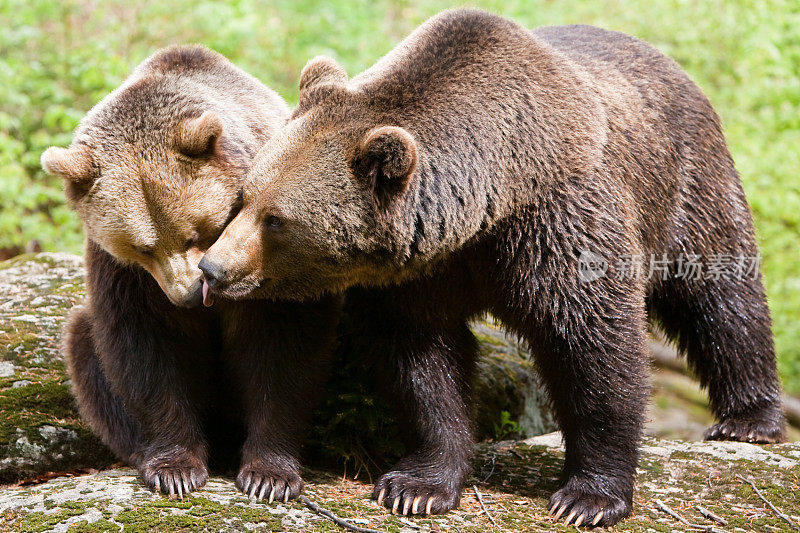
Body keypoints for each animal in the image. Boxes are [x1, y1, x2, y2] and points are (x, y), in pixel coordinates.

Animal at [40, 44, 340, 498]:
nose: (188, 294)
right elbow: (148, 348)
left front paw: (268, 475)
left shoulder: (272, 256)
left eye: (194, 231)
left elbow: (282, 346)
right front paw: (175, 467)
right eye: (142, 247)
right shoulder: (127, 275)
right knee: (84, 346)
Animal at [198, 9, 780, 528]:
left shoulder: (559, 225)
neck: (483, 207)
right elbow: (422, 361)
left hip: (686, 185)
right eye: (245, 197)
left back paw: (749, 419)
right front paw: (417, 485)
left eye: (277, 220)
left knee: (721, 295)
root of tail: (667, 60)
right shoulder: (418, 272)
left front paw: (588, 496)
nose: (212, 267)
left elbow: (595, 343)